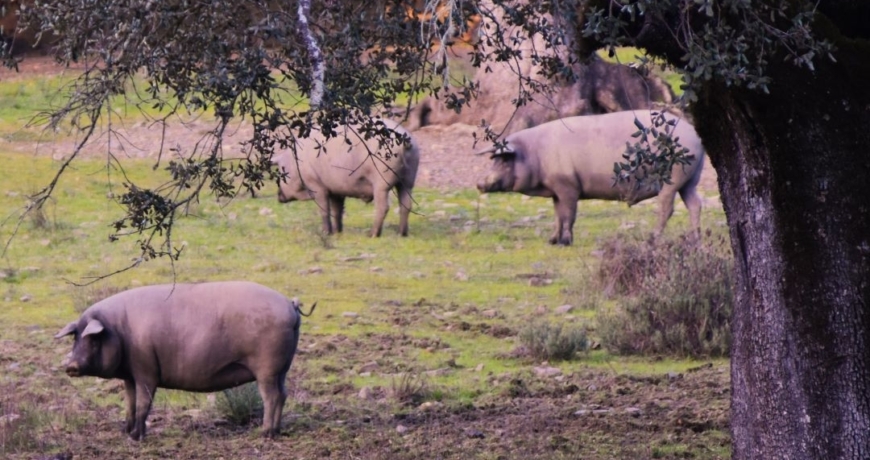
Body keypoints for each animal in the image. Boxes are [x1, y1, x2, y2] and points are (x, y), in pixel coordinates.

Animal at [55, 281, 314, 440]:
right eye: (75, 337)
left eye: (93, 339)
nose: (70, 366)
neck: (119, 330)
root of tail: (290, 305)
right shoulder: (129, 376)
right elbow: (129, 403)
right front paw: (126, 433)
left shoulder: (147, 371)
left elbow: (143, 404)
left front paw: (137, 438)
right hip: (283, 368)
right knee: (283, 394)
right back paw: (276, 431)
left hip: (267, 368)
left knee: (271, 397)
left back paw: (265, 433)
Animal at [275, 119, 420, 237]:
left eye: (281, 172)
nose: (278, 196)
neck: (296, 164)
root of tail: (406, 141)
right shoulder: (335, 190)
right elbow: (337, 210)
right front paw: (338, 231)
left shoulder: (316, 185)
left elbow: (324, 209)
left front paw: (326, 233)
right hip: (408, 180)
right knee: (406, 205)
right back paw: (401, 234)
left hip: (381, 181)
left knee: (383, 207)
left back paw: (372, 234)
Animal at [476, 110, 705, 245]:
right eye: (493, 159)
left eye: (504, 161)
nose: (479, 183)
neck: (536, 155)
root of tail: (696, 136)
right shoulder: (556, 190)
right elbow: (557, 215)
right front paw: (551, 241)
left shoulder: (568, 186)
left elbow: (569, 215)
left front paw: (566, 242)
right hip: (689, 180)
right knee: (695, 204)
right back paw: (695, 238)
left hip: (672, 179)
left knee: (667, 208)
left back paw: (652, 239)